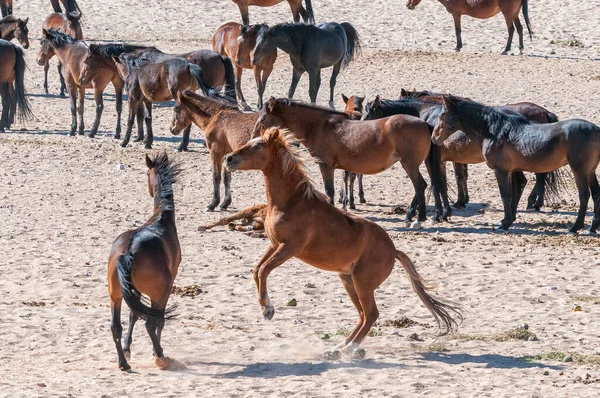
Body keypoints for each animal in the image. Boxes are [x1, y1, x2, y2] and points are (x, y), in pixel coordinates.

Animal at [108, 153, 182, 374]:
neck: (161, 219)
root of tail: (129, 250)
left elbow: (134, 315)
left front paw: (127, 348)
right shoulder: (166, 288)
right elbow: (157, 321)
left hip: (115, 295)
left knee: (116, 326)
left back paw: (123, 363)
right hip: (159, 292)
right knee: (152, 322)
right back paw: (160, 355)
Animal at [223, 127, 462, 358]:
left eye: (257, 146)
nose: (228, 158)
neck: (291, 202)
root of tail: (394, 250)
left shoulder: (290, 247)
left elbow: (264, 270)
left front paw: (268, 310)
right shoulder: (274, 244)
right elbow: (257, 270)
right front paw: (266, 307)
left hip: (362, 283)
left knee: (371, 314)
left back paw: (349, 349)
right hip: (348, 280)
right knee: (363, 315)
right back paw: (338, 348)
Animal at [251, 97, 442, 225]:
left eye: (262, 118)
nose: (253, 138)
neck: (319, 126)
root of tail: (424, 123)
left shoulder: (326, 166)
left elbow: (330, 191)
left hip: (409, 164)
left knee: (420, 185)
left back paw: (418, 218)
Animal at [434, 95, 600, 233]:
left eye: (442, 116)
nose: (434, 138)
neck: (494, 131)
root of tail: (596, 130)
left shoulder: (501, 170)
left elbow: (505, 195)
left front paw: (505, 223)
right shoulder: (510, 170)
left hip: (580, 170)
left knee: (584, 195)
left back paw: (576, 227)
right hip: (590, 171)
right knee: (595, 194)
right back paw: (592, 227)